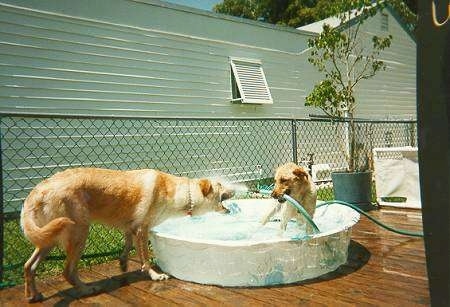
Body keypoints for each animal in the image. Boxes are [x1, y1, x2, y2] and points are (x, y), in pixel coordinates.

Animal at [19, 168, 234, 304]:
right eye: (221, 184)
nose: (235, 188)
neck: (178, 193)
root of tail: (38, 190)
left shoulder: (131, 227)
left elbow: (128, 244)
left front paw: (123, 262)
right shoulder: (142, 229)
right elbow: (145, 258)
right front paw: (154, 275)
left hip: (48, 238)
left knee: (29, 266)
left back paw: (33, 295)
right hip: (79, 232)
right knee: (67, 271)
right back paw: (85, 290)